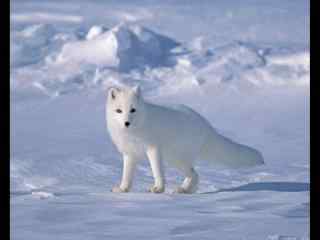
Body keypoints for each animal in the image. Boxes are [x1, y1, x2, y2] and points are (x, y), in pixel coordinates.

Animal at [106, 85, 264, 193]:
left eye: (133, 110)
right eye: (119, 110)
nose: (126, 123)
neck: (134, 132)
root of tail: (205, 124)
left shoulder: (153, 149)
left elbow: (157, 171)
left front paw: (158, 189)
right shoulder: (129, 153)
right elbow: (126, 175)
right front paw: (123, 189)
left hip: (176, 159)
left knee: (195, 174)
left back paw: (183, 190)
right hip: (173, 159)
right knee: (195, 174)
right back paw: (186, 190)